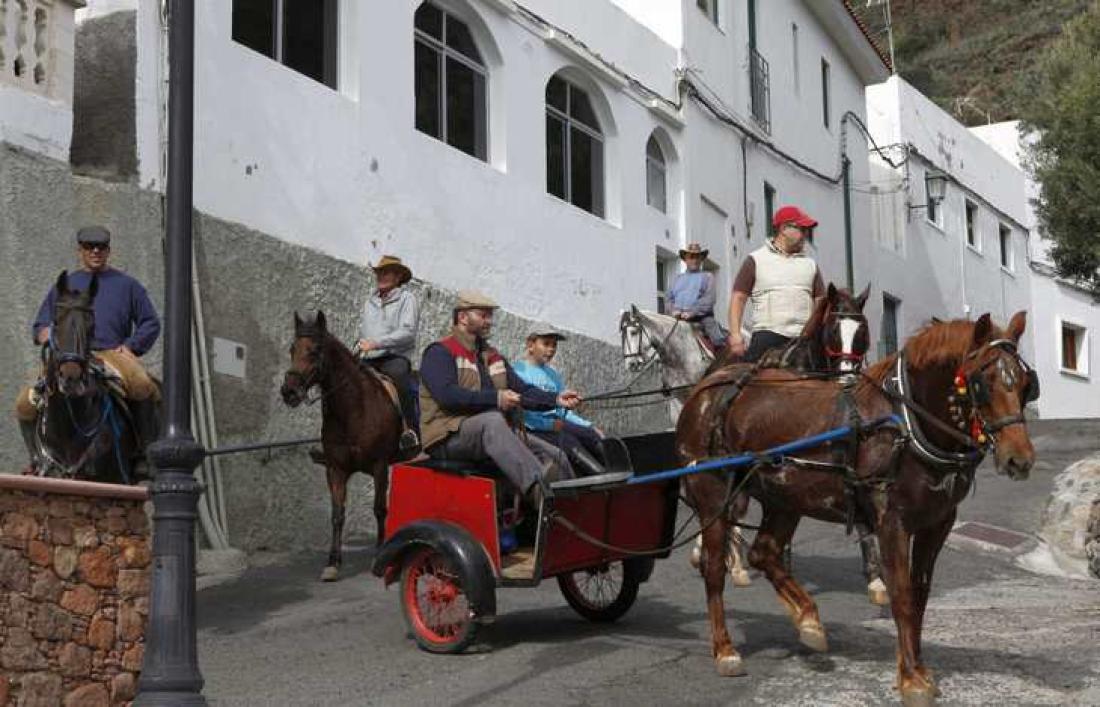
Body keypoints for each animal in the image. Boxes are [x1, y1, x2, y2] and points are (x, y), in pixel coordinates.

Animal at [281, 312, 402, 584]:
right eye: (292, 349)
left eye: (315, 350)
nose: (289, 391)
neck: (354, 410)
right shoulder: (335, 469)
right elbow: (337, 515)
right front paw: (333, 563)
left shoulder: (380, 466)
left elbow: (380, 509)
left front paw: (379, 555)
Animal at [673, 314, 1034, 707]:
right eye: (982, 382)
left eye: (1026, 383)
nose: (1020, 459)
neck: (905, 424)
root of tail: (706, 387)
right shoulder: (891, 520)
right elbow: (901, 593)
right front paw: (912, 678)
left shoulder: (937, 523)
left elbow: (920, 594)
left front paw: (915, 668)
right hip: (714, 494)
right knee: (713, 569)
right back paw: (725, 650)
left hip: (786, 497)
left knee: (764, 553)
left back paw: (809, 621)